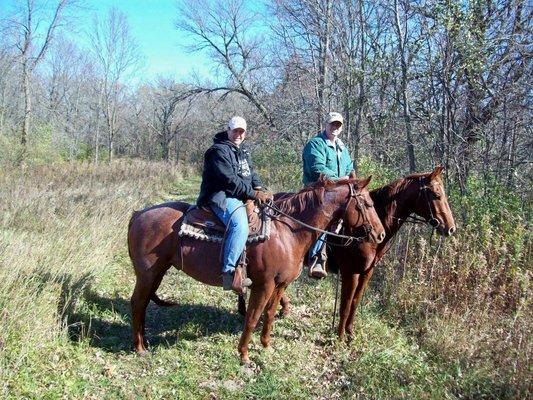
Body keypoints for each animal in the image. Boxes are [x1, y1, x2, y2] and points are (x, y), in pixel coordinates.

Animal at [127, 176, 384, 366]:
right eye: (367, 204)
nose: (380, 234)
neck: (288, 231)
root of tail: (138, 214)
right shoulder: (264, 284)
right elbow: (252, 317)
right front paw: (244, 356)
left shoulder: (280, 284)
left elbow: (269, 314)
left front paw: (266, 346)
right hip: (147, 274)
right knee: (137, 303)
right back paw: (139, 348)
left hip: (157, 272)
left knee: (143, 304)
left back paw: (144, 342)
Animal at [240, 166, 454, 338]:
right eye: (436, 194)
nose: (450, 228)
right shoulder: (351, 272)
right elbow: (345, 303)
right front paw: (341, 336)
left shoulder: (367, 272)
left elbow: (355, 302)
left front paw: (350, 332)